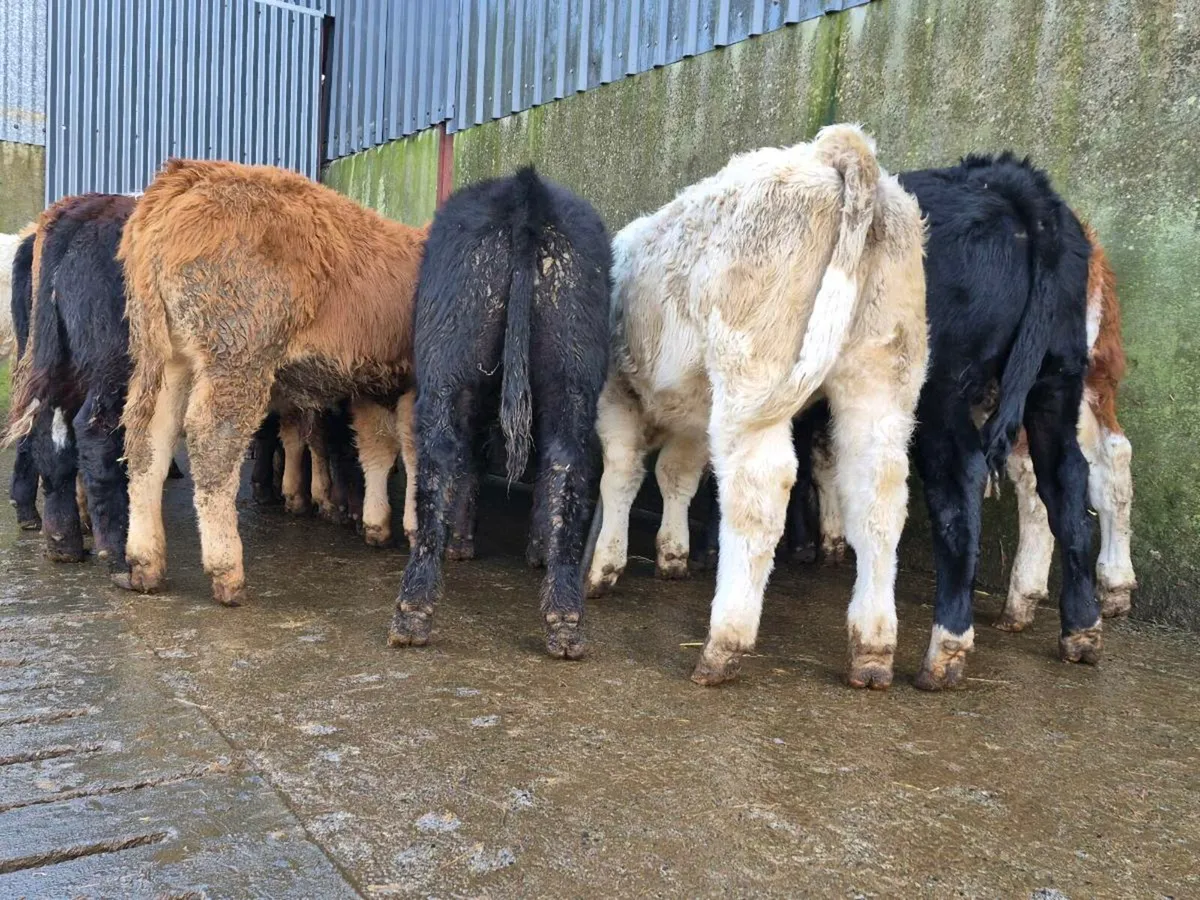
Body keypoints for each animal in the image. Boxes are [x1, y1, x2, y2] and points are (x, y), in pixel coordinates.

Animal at [115, 160, 424, 605]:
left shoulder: (372, 389)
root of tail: (187, 175)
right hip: (237, 360)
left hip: (168, 359)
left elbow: (378, 450)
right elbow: (414, 452)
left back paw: (144, 563)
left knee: (149, 439)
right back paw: (227, 571)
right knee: (213, 442)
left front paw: (377, 524)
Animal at [390, 167, 611, 659]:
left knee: (440, 455)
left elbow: (470, 460)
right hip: (574, 363)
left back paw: (412, 612)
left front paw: (461, 543)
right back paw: (564, 619)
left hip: (447, 357)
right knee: (566, 460)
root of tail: (524, 187)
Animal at [584, 124, 928, 688]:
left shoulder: (618, 394)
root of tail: (831, 152)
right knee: (879, 496)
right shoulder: (692, 417)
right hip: (881, 378)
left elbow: (621, 476)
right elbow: (676, 477)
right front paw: (673, 553)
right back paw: (873, 648)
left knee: (760, 490)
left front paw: (604, 566)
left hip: (750, 373)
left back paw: (724, 642)